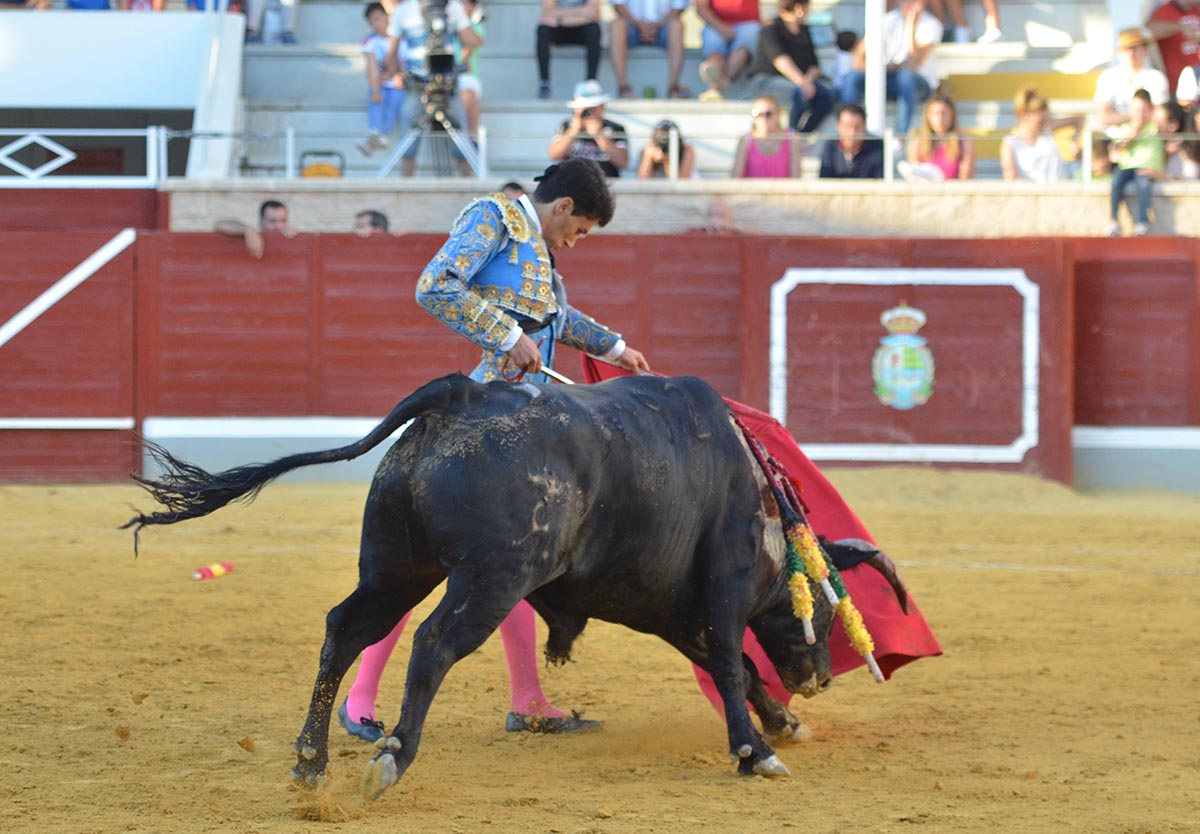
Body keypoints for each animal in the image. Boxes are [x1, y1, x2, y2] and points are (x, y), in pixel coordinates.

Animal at [126, 374, 849, 801]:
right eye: (826, 612)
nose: (820, 676)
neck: (758, 494)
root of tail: (459, 398)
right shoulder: (720, 589)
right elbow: (730, 663)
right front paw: (756, 752)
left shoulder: (669, 608)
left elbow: (734, 668)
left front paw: (785, 723)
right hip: (491, 578)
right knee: (432, 642)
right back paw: (391, 757)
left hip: (397, 567)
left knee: (348, 629)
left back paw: (311, 758)